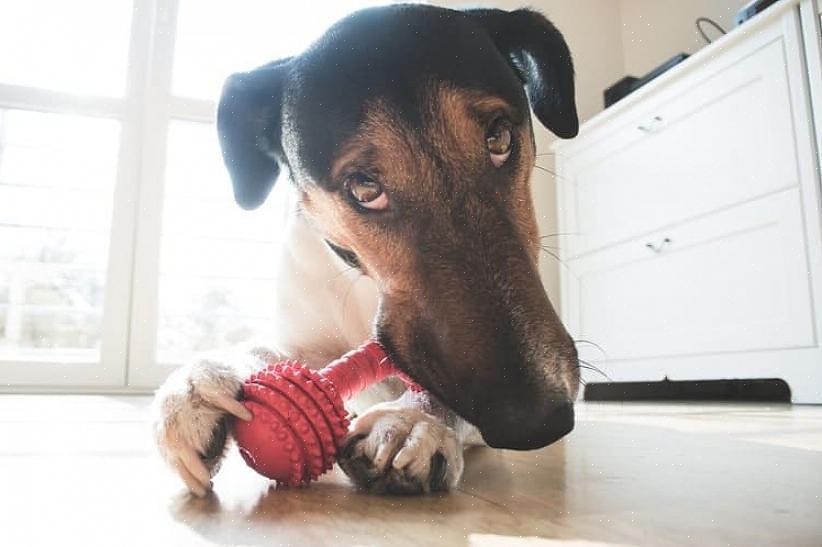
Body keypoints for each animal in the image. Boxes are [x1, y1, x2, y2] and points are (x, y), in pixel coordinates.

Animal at [153, 4, 580, 498]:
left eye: (499, 139)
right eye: (364, 188)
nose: (540, 421)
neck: (363, 286)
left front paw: (411, 419)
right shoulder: (306, 337)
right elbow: (270, 352)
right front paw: (204, 378)